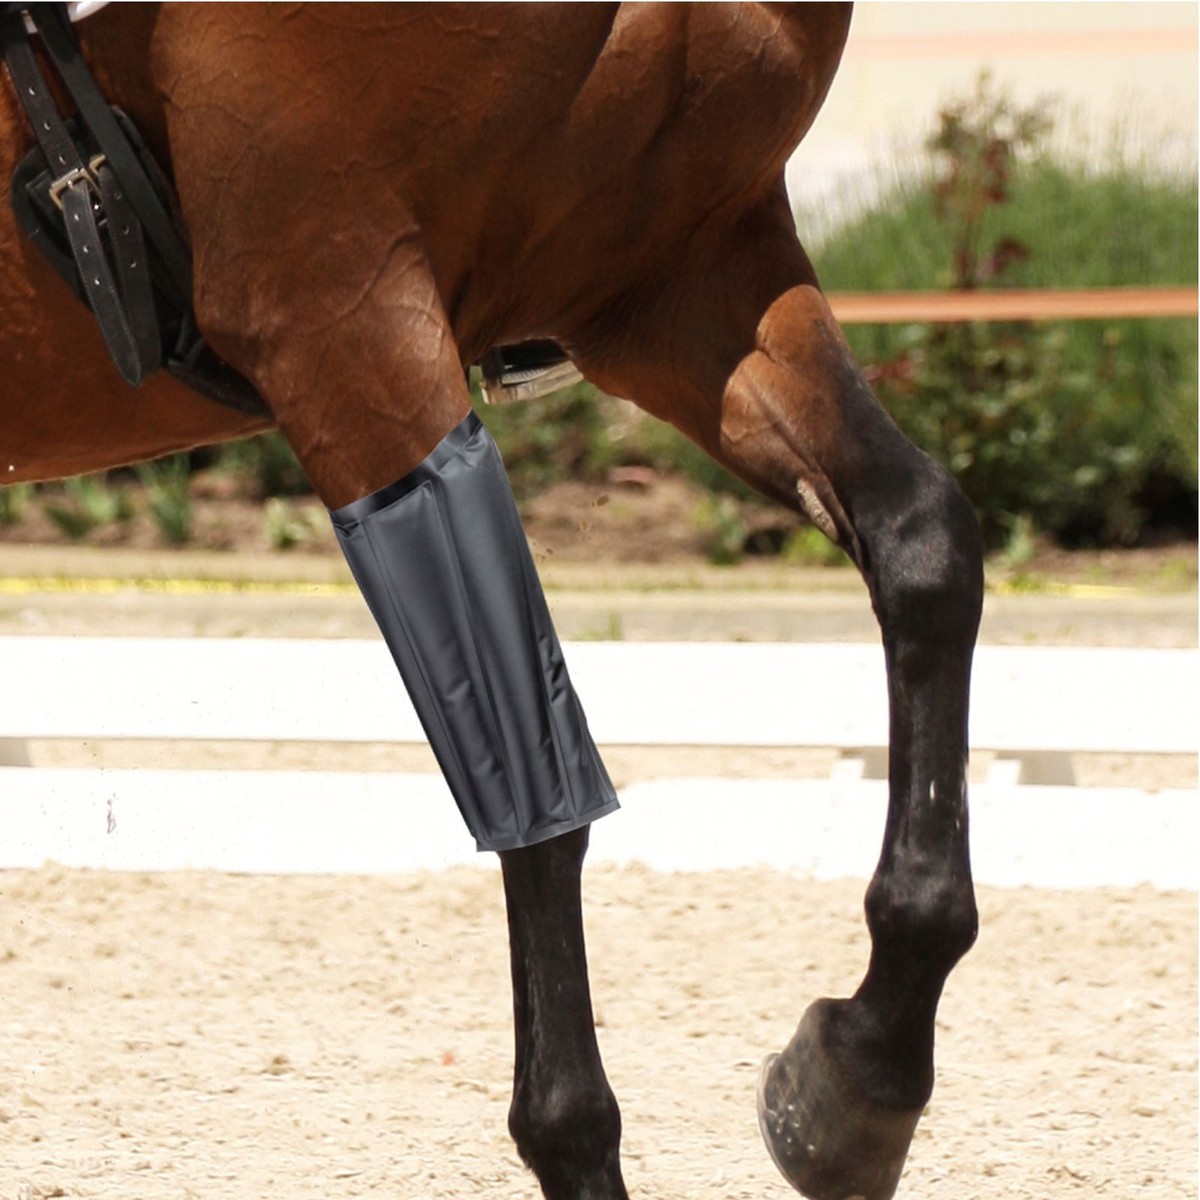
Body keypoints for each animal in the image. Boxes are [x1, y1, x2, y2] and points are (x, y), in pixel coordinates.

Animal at [0, 5, 984, 1199]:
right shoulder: (336, 307)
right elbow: (531, 774)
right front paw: (576, 1139)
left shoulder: (680, 272)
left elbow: (926, 544)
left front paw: (859, 1076)